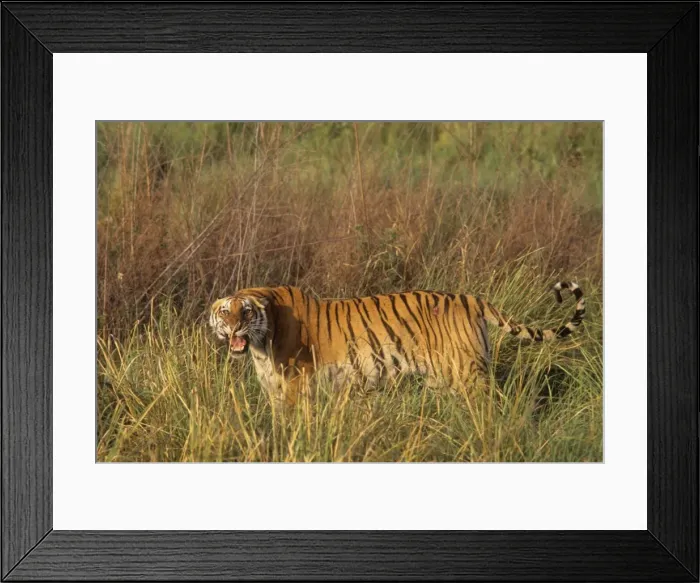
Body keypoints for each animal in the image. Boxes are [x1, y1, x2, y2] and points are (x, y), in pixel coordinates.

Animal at [209, 282, 584, 408]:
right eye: (226, 311)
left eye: (246, 311)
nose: (235, 326)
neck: (261, 346)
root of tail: (472, 298)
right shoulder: (274, 388)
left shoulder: (295, 387)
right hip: (442, 380)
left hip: (468, 374)